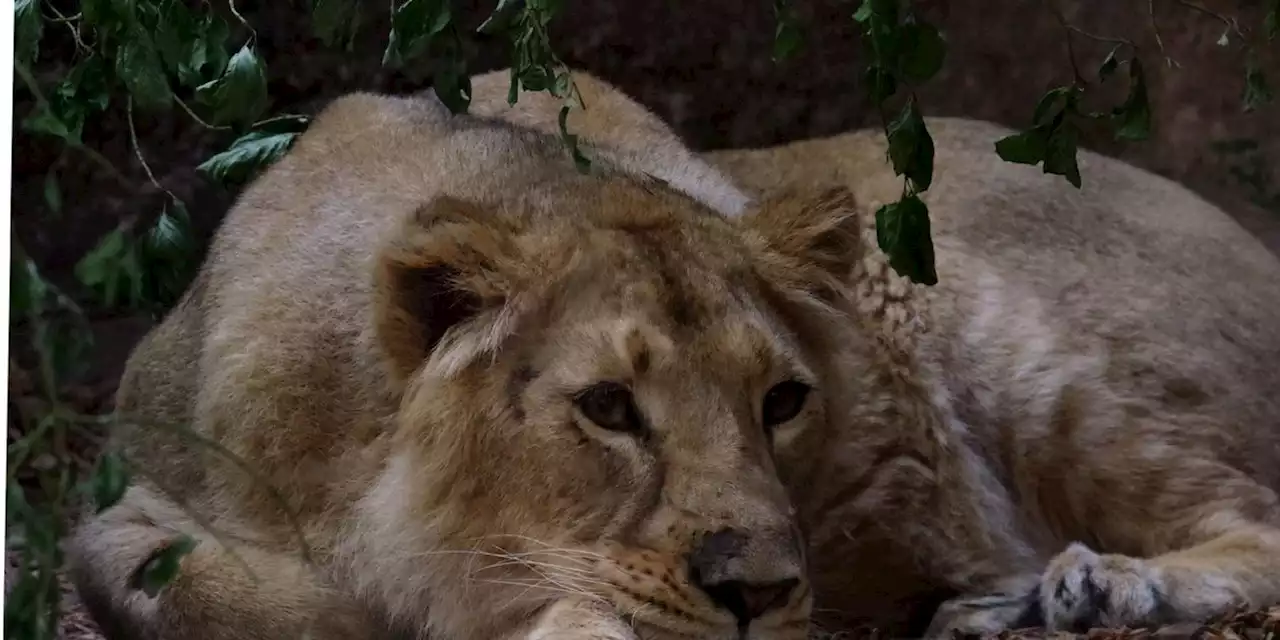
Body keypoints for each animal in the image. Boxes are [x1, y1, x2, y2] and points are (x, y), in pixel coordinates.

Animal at [64, 68, 1280, 640]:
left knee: (1256, 513)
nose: (761, 590)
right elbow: (156, 577)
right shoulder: (138, 493)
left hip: (994, 321)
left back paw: (1098, 583)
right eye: (606, 407)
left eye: (784, 400)